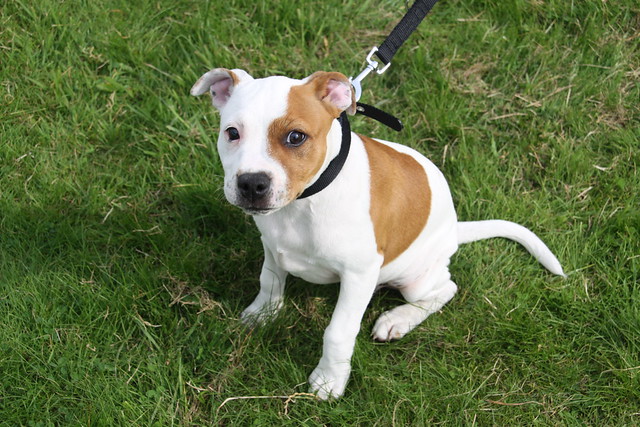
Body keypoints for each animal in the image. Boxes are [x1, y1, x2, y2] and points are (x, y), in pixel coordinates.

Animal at [190, 68, 564, 400]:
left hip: (417, 279)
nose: (251, 183)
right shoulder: (272, 246)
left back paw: (397, 320)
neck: (305, 202)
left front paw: (329, 381)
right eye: (232, 133)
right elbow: (269, 281)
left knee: (445, 289)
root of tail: (454, 228)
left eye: (296, 137)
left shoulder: (359, 275)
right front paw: (263, 313)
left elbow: (338, 332)